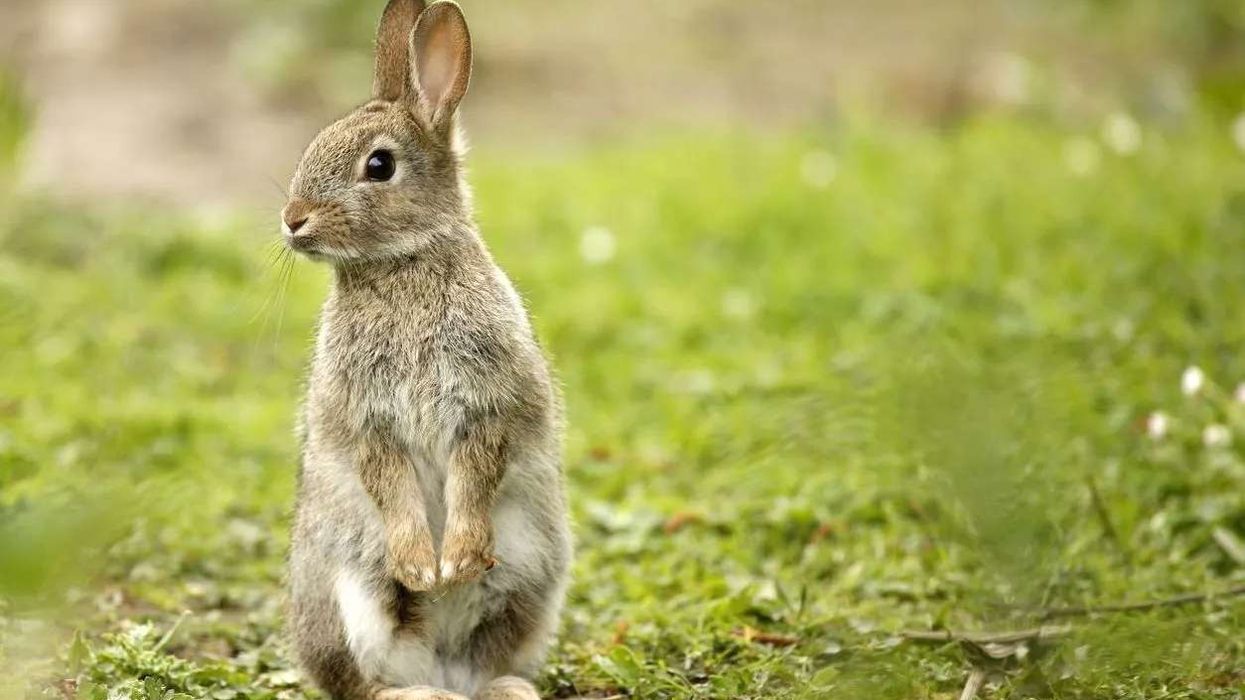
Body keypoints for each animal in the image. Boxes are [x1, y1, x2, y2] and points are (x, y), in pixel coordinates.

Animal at [281, 1, 572, 699]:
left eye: (379, 166)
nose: (292, 219)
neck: (403, 262)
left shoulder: (489, 406)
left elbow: (477, 471)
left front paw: (456, 560)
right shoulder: (370, 422)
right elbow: (388, 481)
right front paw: (421, 568)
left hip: (530, 581)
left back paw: (502, 686)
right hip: (349, 594)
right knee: (364, 682)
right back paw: (417, 685)